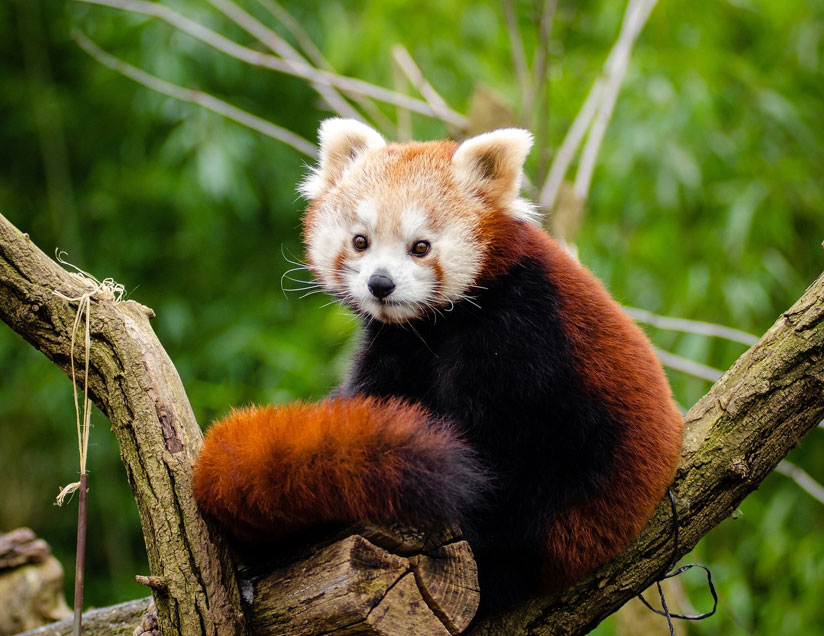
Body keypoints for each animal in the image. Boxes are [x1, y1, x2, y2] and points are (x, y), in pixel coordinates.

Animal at [193, 119, 684, 612]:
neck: (435, 326)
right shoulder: (394, 344)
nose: (380, 284)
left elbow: (489, 445)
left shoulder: (524, 331)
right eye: (360, 241)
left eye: (421, 247)